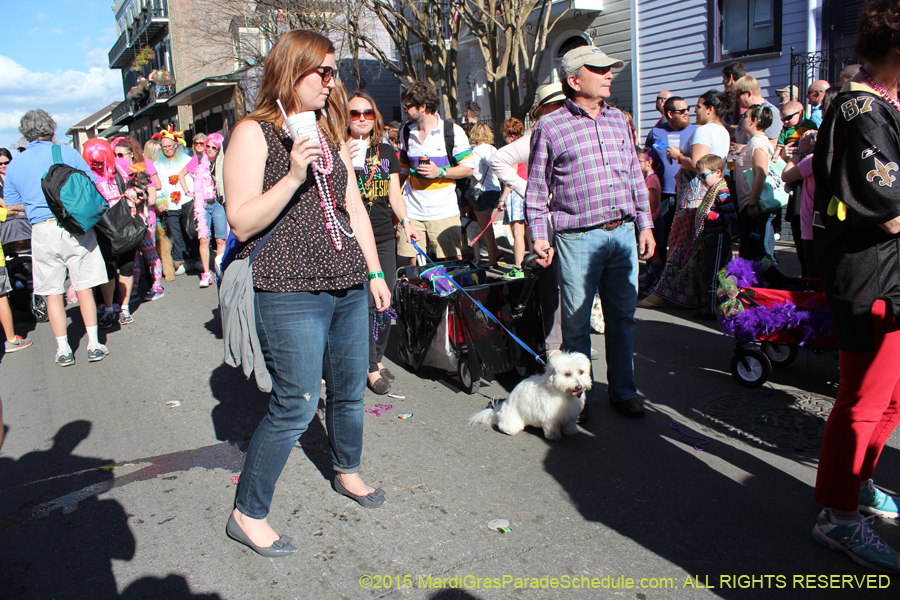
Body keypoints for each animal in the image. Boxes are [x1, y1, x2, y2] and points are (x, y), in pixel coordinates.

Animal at [468, 352, 596, 440]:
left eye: (581, 372)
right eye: (567, 374)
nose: (579, 387)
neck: (562, 394)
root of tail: (496, 413)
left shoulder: (570, 414)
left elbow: (570, 424)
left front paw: (571, 432)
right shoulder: (550, 417)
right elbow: (551, 427)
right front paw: (554, 436)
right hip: (512, 418)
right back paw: (509, 430)